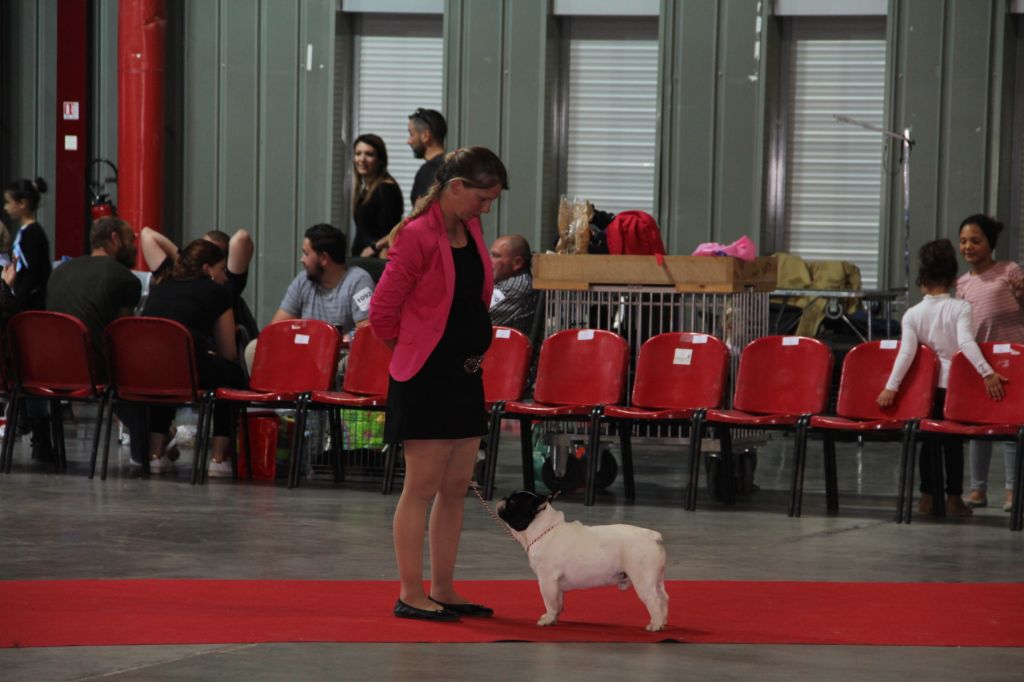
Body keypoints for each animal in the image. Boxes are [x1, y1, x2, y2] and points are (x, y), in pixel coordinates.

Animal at [495, 490, 668, 631]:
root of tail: (653, 536)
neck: (543, 531)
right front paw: (554, 618)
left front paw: (548, 620)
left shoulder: (547, 580)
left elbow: (549, 602)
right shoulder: (556, 584)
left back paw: (655, 625)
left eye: (512, 502)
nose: (503, 497)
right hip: (656, 578)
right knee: (663, 597)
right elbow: (558, 602)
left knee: (653, 600)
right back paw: (664, 621)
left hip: (642, 579)